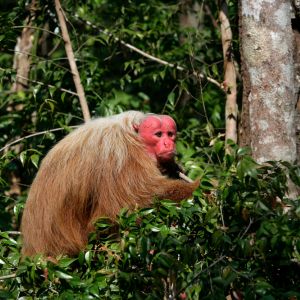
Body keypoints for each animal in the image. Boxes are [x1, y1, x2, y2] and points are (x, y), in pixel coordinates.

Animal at [21, 111, 199, 256]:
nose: (169, 144)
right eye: (158, 134)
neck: (134, 136)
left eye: (170, 134)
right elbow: (136, 202)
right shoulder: (121, 151)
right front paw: (199, 188)